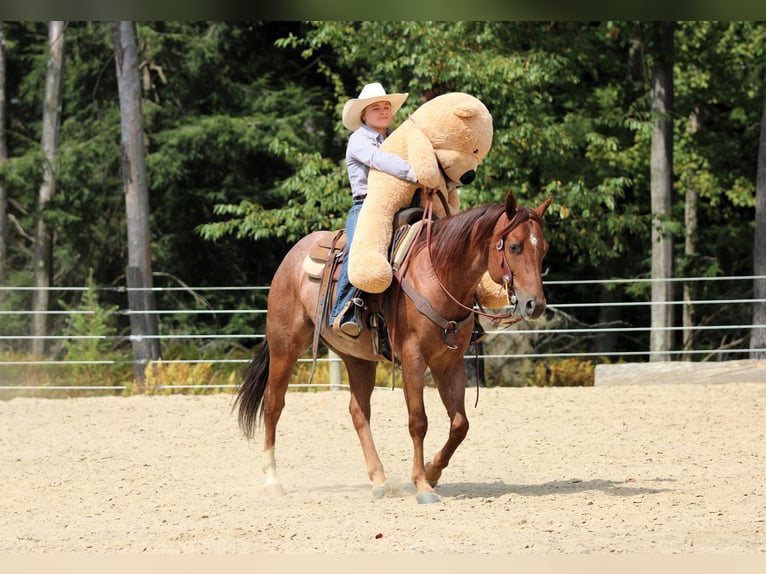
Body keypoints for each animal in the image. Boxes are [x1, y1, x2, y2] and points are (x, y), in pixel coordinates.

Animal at [235, 189, 553, 504]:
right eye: (514, 247)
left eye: (544, 249)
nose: (534, 304)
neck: (437, 275)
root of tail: (294, 254)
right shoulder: (414, 359)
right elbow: (418, 421)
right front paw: (422, 486)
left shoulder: (449, 363)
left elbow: (460, 424)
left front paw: (433, 472)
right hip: (284, 346)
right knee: (274, 404)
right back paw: (273, 480)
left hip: (357, 358)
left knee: (358, 411)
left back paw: (379, 479)